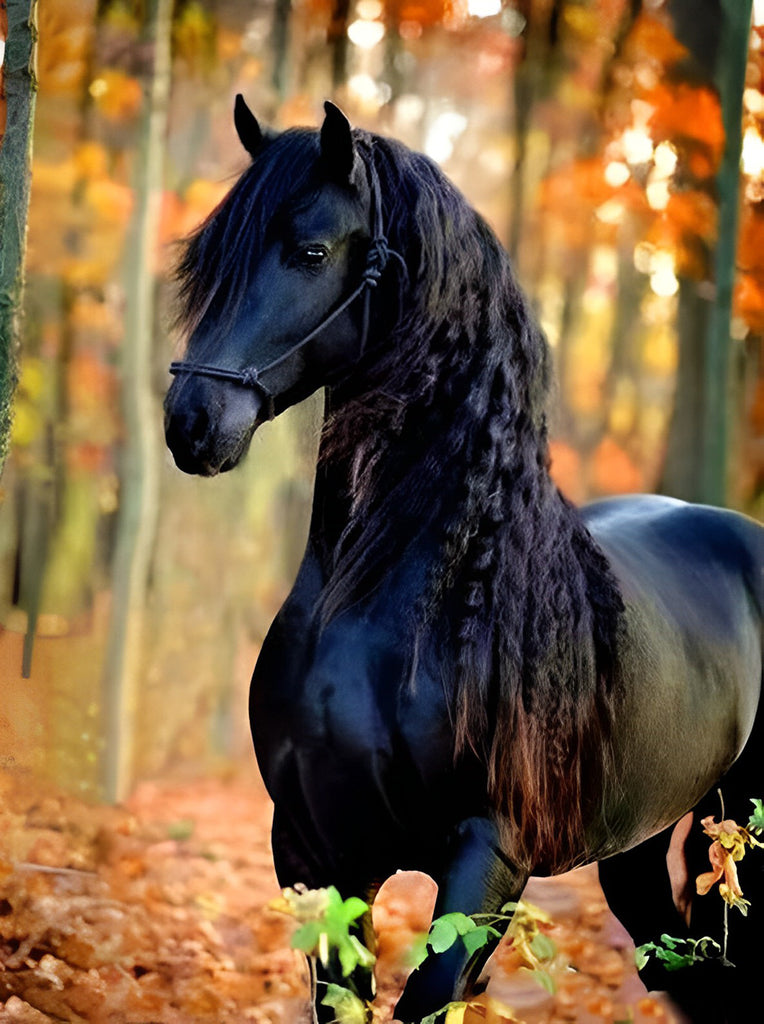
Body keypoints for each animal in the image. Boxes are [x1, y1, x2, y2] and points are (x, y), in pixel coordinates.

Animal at [163, 97, 757, 1024]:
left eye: (310, 252)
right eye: (208, 257)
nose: (191, 421)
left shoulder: (488, 859)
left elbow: (432, 993)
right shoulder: (312, 852)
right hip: (639, 847)